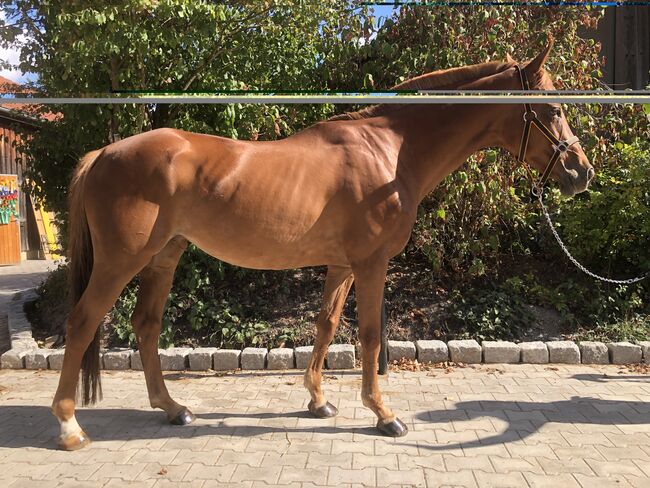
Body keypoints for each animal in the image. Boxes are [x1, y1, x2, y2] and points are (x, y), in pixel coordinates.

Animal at [52, 43, 592, 450]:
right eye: (554, 109)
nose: (581, 173)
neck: (390, 153)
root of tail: (106, 152)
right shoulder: (371, 264)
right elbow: (369, 335)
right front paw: (384, 414)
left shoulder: (341, 265)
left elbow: (327, 325)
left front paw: (317, 400)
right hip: (120, 262)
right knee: (82, 322)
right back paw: (70, 426)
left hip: (164, 257)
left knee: (145, 326)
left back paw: (173, 408)